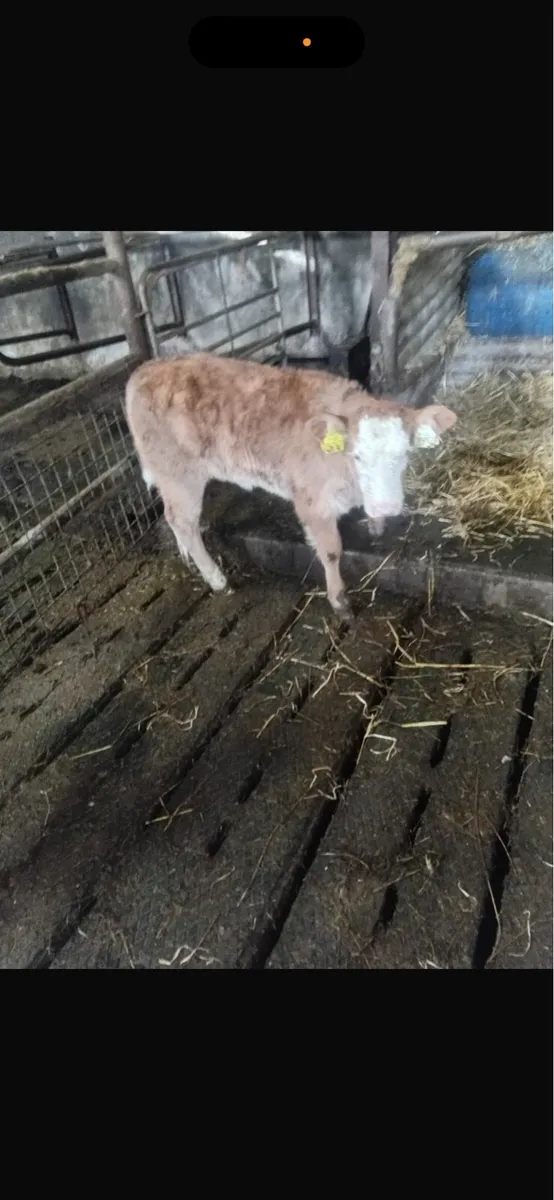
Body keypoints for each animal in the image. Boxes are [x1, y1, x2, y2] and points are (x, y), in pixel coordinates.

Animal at [125, 354, 457, 614]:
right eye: (357, 456)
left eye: (405, 453)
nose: (387, 505)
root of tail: (146, 369)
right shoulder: (313, 502)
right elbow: (332, 551)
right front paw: (339, 601)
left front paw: (377, 524)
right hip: (179, 473)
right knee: (183, 521)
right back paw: (218, 580)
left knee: (174, 518)